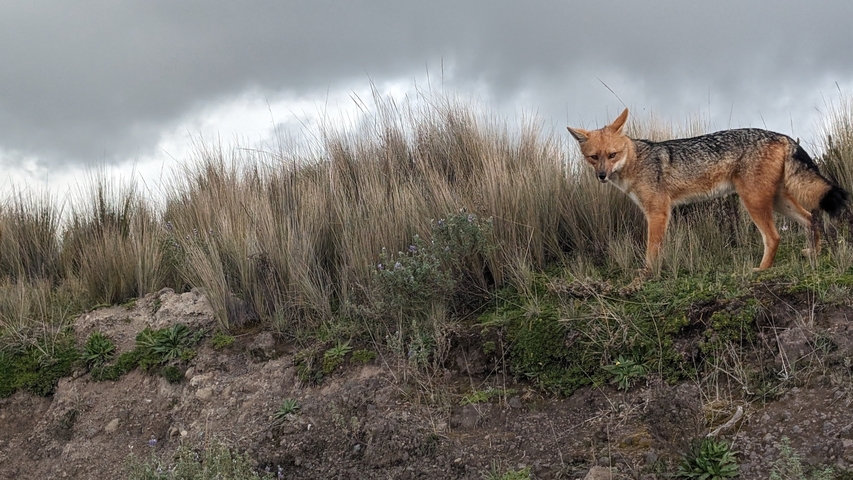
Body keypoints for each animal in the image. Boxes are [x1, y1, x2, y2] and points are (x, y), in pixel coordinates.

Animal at [568, 108, 849, 272]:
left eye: (612, 155)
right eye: (594, 157)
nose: (602, 176)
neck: (638, 161)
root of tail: (780, 135)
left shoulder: (658, 213)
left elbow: (651, 252)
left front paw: (644, 279)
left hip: (753, 202)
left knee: (774, 237)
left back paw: (761, 270)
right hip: (778, 201)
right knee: (812, 219)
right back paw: (814, 254)